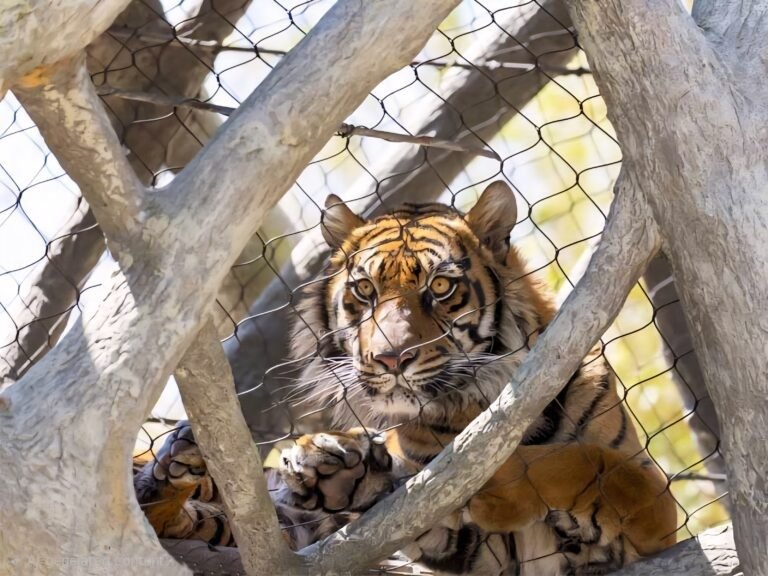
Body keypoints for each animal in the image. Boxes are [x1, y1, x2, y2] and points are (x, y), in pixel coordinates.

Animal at [134, 181, 677, 575]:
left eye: (441, 287)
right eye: (365, 290)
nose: (391, 358)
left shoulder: (646, 533)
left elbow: (598, 465)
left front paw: (493, 484)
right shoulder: (479, 553)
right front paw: (341, 466)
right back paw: (181, 461)